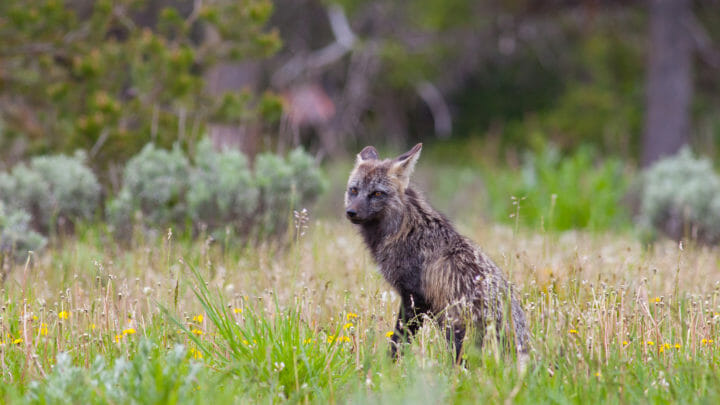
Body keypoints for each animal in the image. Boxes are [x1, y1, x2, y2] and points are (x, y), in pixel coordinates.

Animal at [346, 144, 532, 362]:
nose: (350, 212)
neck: (404, 231)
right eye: (354, 190)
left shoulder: (414, 299)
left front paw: (388, 366)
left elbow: (398, 341)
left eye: (376, 194)